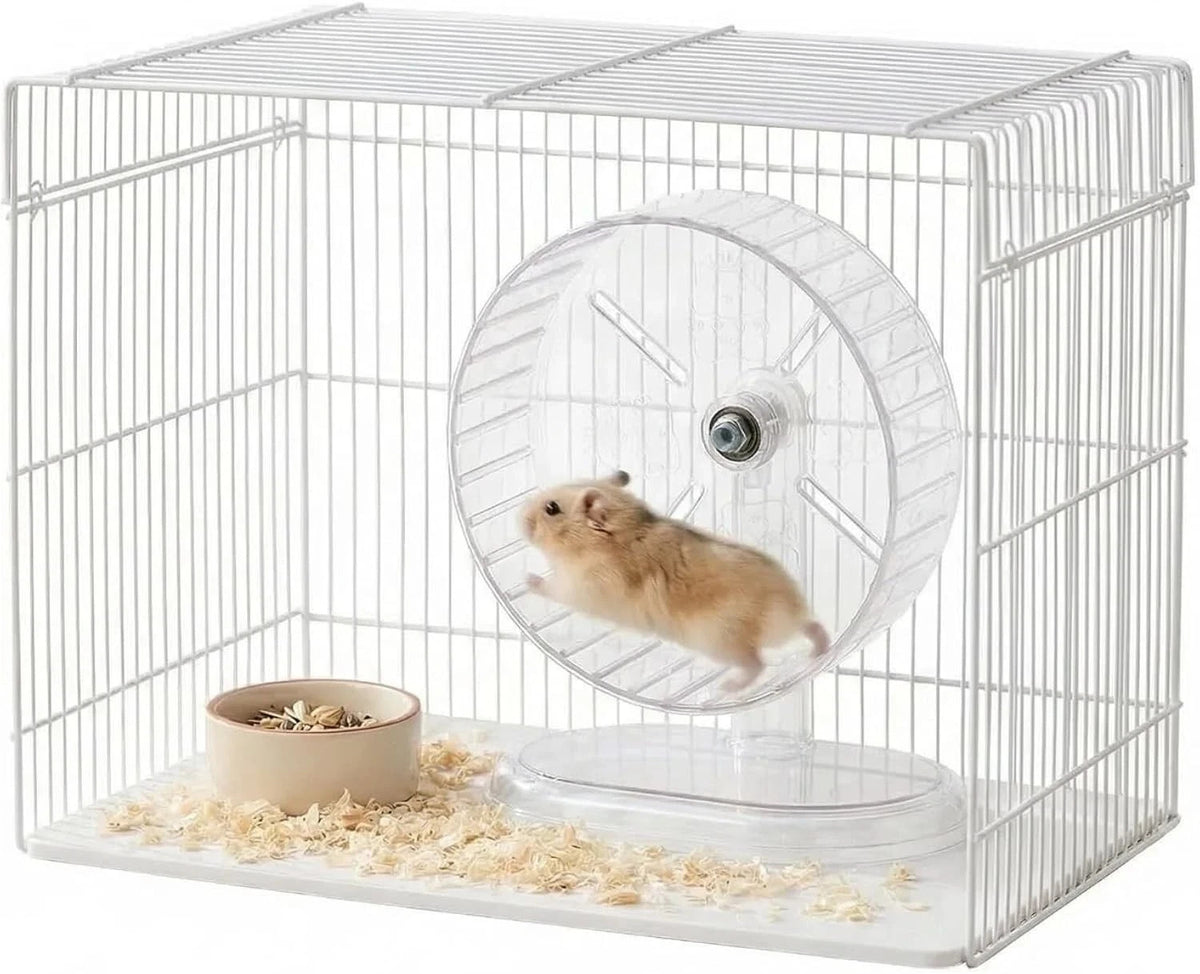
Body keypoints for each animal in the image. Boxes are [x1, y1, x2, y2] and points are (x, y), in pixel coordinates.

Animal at [520, 471, 830, 692]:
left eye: (551, 508)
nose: (518, 518)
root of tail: (786, 612)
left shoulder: (581, 588)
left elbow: (550, 587)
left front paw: (527, 579)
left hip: (719, 640)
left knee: (757, 664)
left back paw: (727, 688)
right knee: (811, 627)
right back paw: (819, 652)